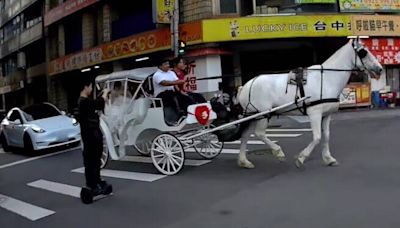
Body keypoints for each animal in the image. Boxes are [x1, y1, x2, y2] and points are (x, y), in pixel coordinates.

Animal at [236, 39, 382, 168]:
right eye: (363, 52)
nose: (380, 69)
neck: (327, 78)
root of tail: (245, 86)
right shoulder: (315, 113)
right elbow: (317, 137)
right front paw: (301, 158)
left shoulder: (326, 115)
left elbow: (326, 136)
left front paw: (328, 158)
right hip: (263, 113)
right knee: (259, 133)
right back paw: (278, 151)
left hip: (253, 115)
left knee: (245, 135)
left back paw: (244, 161)